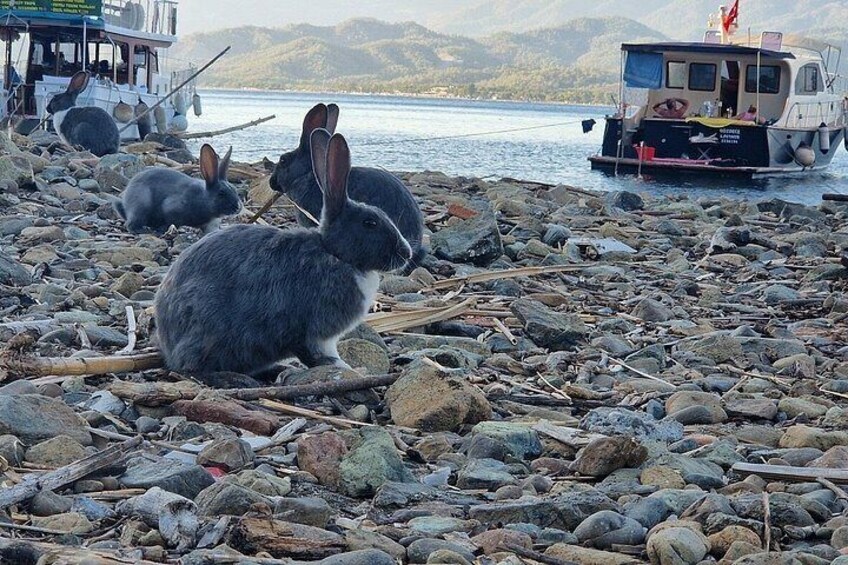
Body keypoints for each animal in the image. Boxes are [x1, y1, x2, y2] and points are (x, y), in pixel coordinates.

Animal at [114, 144, 242, 235]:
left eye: (235, 190)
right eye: (221, 193)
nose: (238, 208)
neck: (204, 197)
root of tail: (125, 203)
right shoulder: (171, 208)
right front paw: (163, 230)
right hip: (140, 205)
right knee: (131, 224)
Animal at [154, 129, 412, 379]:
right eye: (370, 223)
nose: (406, 253)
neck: (335, 253)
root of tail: (168, 343)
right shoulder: (315, 333)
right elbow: (317, 354)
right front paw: (348, 369)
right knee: (189, 368)